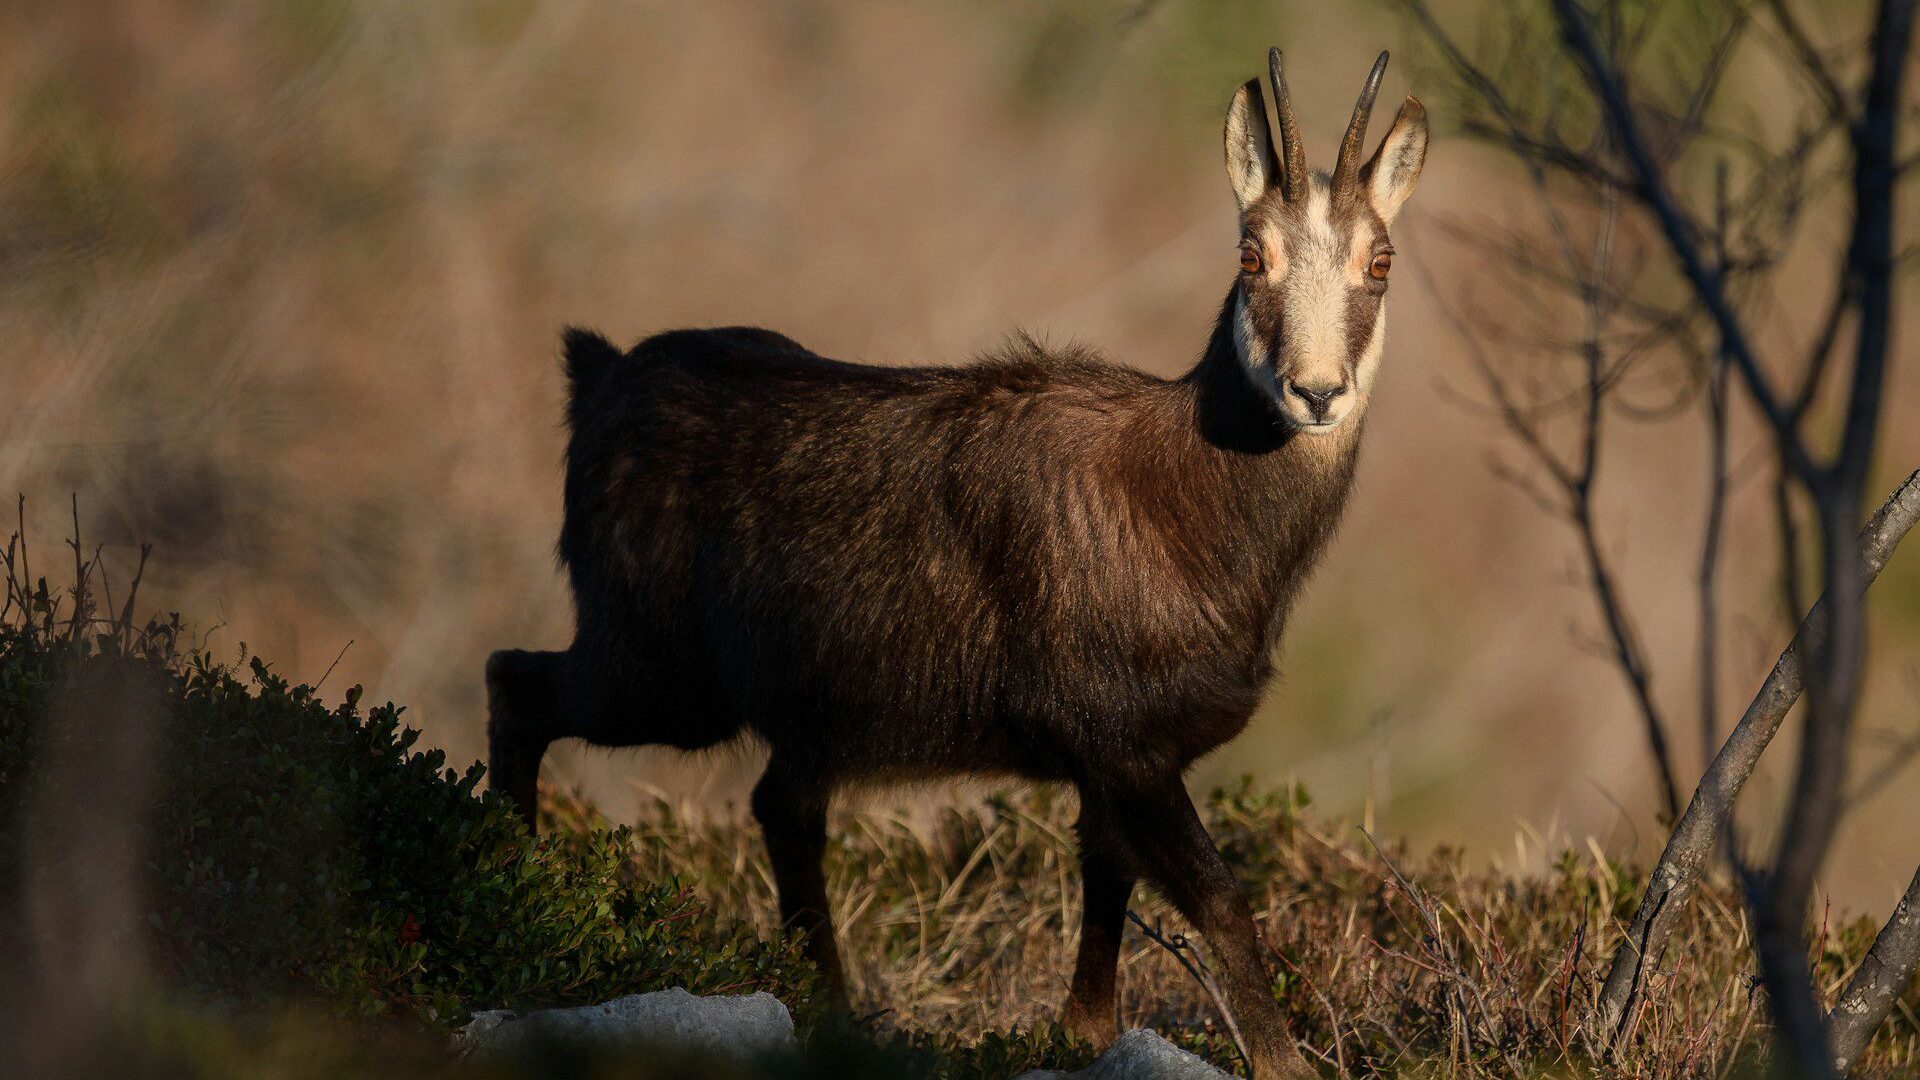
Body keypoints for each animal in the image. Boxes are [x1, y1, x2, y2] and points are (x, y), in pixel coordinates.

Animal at [487, 48, 1426, 1079]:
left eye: (1380, 261)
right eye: (1251, 255)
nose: (1316, 392)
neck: (1194, 509)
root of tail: (601, 378)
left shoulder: (1110, 761)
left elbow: (1106, 886)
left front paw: (1080, 1033)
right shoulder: (1125, 744)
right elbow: (1218, 898)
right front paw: (1284, 1061)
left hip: (796, 704)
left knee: (782, 807)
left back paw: (833, 1015)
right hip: (659, 672)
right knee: (516, 680)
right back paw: (511, 894)